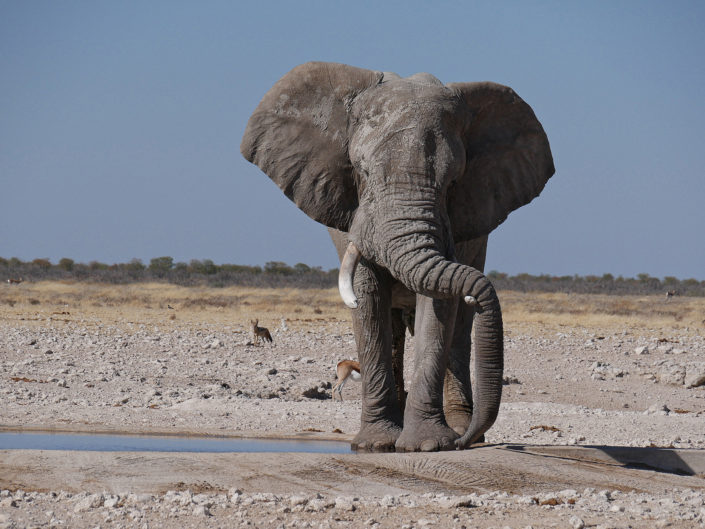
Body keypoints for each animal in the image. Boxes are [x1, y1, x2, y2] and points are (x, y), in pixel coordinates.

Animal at [241, 62, 554, 452]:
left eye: (454, 183)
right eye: (361, 172)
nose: (462, 443)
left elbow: (438, 307)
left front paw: (427, 445)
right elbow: (368, 298)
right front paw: (374, 445)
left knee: (459, 329)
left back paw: (458, 428)